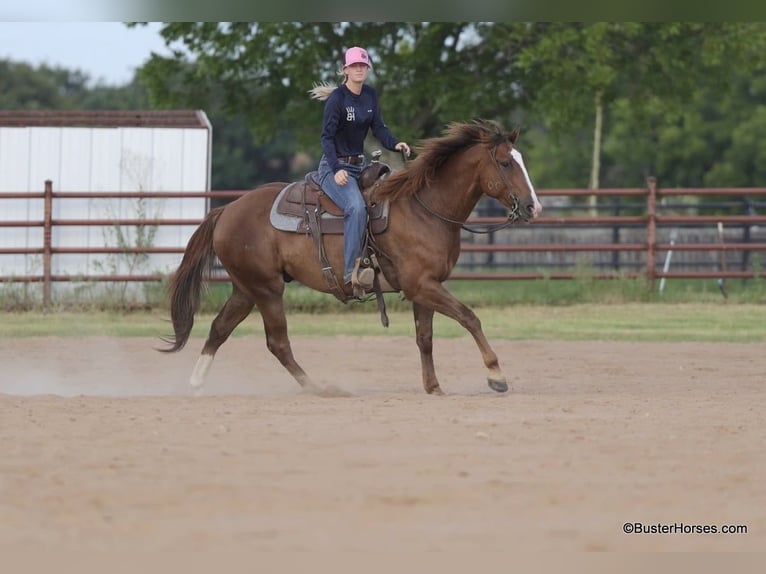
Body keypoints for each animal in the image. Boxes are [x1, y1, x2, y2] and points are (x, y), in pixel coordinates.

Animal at [162, 119, 544, 398]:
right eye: (506, 163)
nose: (533, 207)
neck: (425, 209)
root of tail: (227, 210)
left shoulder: (425, 288)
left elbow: (425, 337)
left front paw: (433, 387)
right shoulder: (422, 285)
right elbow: (469, 318)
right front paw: (496, 374)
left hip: (246, 288)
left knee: (219, 329)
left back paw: (196, 384)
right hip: (267, 289)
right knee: (277, 342)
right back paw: (319, 388)